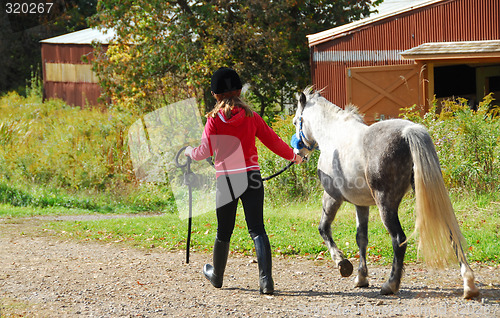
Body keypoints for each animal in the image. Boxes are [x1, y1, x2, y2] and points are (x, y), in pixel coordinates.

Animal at [292, 87, 480, 298]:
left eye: (296, 121)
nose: (298, 153)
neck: (334, 135)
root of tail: (408, 131)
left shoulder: (332, 197)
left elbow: (324, 228)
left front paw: (342, 263)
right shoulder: (361, 204)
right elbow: (361, 238)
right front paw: (361, 277)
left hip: (386, 205)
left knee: (399, 239)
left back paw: (390, 285)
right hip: (431, 197)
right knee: (450, 232)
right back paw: (469, 284)